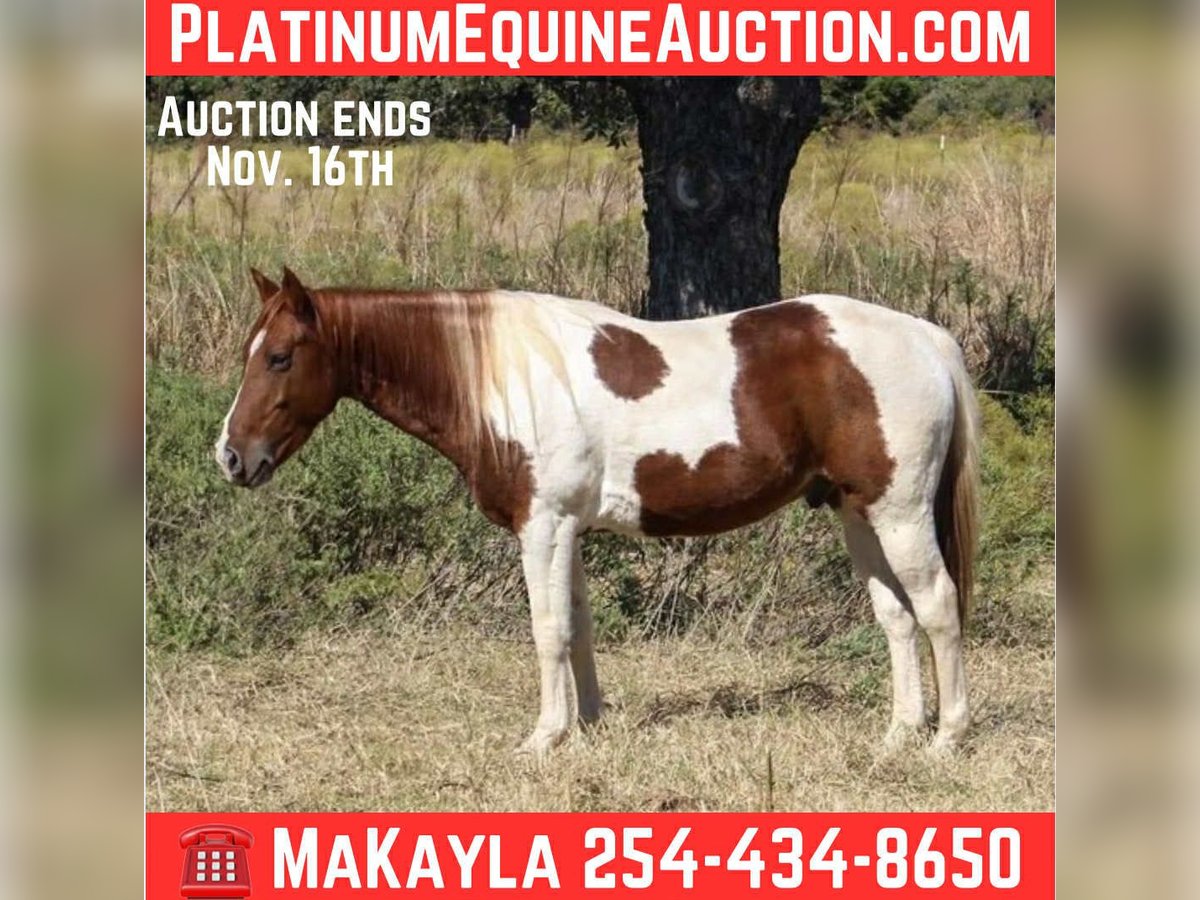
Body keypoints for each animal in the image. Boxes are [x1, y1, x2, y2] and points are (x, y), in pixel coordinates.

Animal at [216, 267, 979, 755]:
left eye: (279, 357)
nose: (230, 456)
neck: (499, 376)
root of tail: (926, 337)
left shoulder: (543, 525)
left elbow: (547, 629)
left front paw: (545, 737)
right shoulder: (569, 531)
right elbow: (578, 627)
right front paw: (587, 723)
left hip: (900, 512)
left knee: (938, 607)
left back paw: (946, 738)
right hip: (857, 512)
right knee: (896, 617)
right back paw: (898, 735)